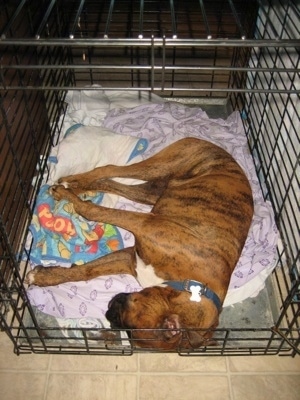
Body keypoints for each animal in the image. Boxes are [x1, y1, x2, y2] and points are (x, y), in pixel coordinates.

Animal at [25, 138, 253, 350]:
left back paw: (75, 187)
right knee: (109, 169)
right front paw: (73, 202)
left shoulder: (130, 259)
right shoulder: (143, 223)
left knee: (110, 182)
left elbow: (86, 271)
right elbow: (93, 212)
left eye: (129, 327)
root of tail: (224, 153)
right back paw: (69, 184)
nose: (108, 312)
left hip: (152, 192)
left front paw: (44, 276)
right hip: (161, 166)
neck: (190, 284)